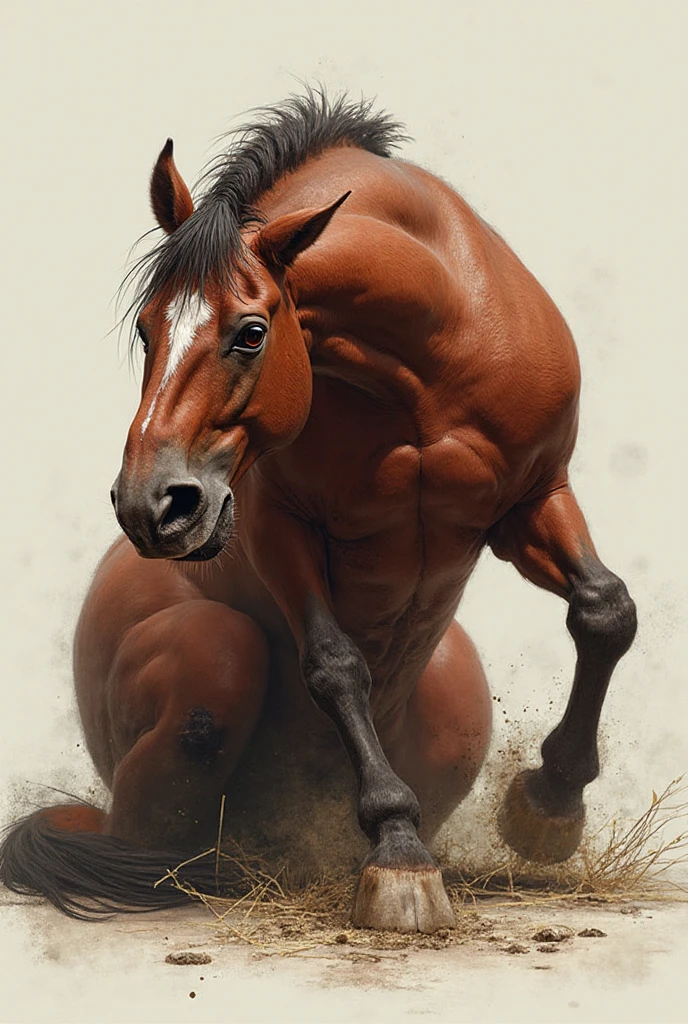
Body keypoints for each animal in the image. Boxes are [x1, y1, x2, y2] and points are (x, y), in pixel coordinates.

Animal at [0, 90, 637, 932]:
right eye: (146, 328)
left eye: (250, 334)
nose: (149, 506)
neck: (426, 361)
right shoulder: (277, 524)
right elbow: (335, 663)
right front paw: (400, 856)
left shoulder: (533, 498)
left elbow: (605, 611)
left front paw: (547, 809)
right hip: (207, 657)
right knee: (144, 830)